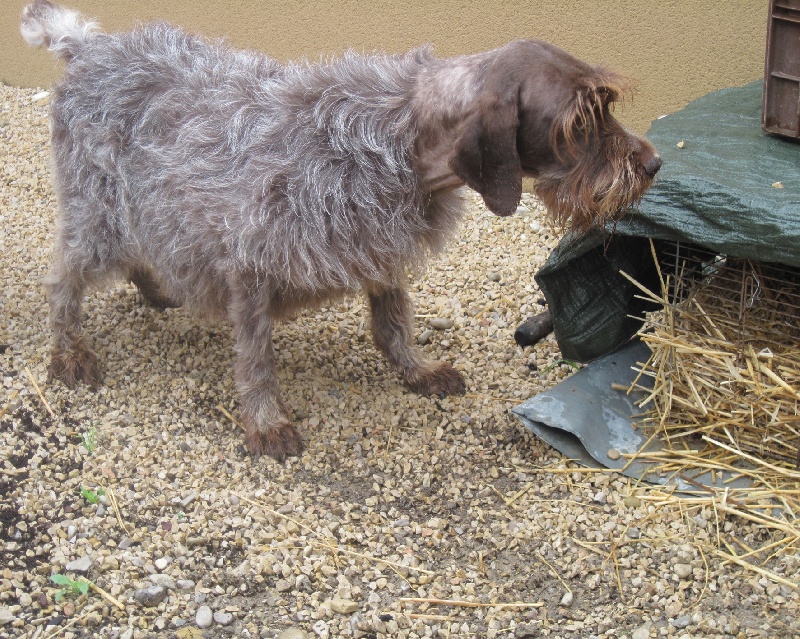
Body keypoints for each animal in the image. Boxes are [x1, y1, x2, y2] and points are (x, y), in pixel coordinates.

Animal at [20, 0, 664, 460]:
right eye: (578, 122)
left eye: (605, 107)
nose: (653, 165)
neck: (401, 140)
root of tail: (90, 45)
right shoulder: (249, 264)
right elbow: (256, 360)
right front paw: (265, 422)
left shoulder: (378, 246)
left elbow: (393, 323)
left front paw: (415, 369)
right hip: (96, 212)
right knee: (64, 283)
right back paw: (69, 352)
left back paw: (157, 291)